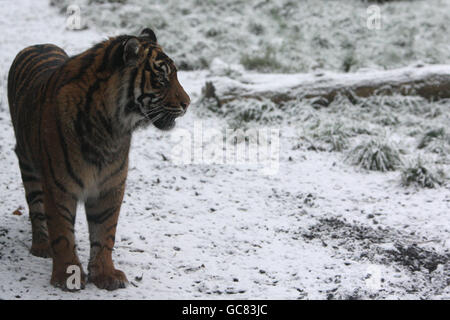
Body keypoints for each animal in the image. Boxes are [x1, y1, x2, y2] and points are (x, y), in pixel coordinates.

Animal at [7, 28, 190, 292]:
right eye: (162, 79)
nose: (188, 104)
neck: (110, 127)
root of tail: (39, 44)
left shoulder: (110, 185)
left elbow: (105, 232)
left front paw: (105, 274)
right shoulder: (59, 185)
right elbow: (62, 233)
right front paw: (67, 275)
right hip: (28, 162)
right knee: (36, 207)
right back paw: (41, 246)